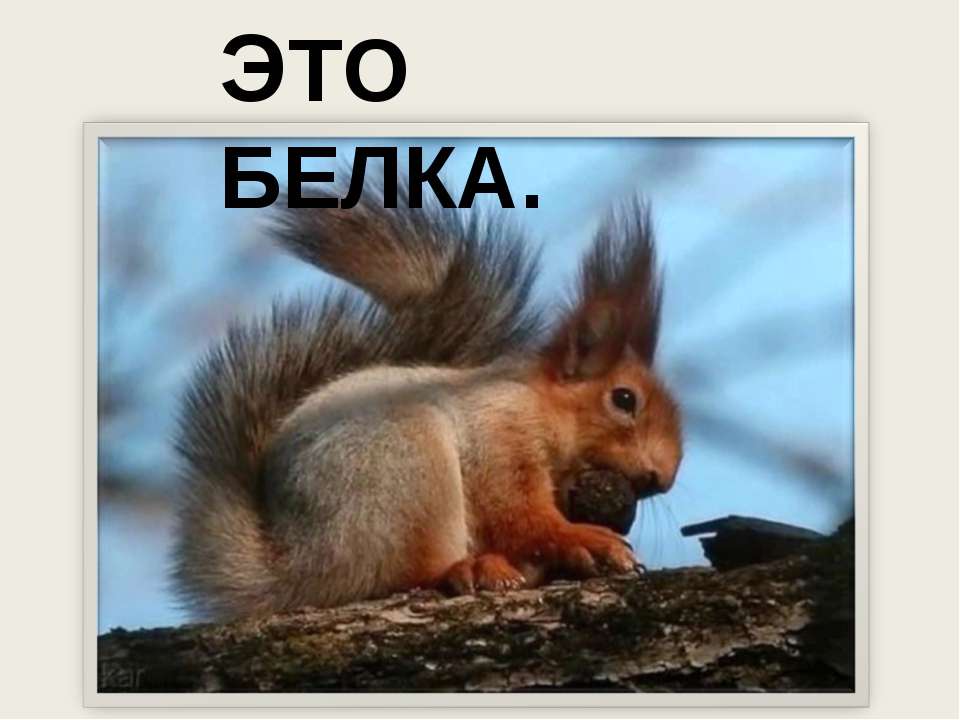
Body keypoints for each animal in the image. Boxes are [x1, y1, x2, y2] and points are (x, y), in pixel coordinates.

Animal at [171, 183, 683, 621]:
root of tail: (292, 566)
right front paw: (584, 541)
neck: (540, 405)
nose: (664, 477)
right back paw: (466, 568)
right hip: (406, 468)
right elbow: (518, 514)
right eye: (624, 399)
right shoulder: (498, 431)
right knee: (401, 571)